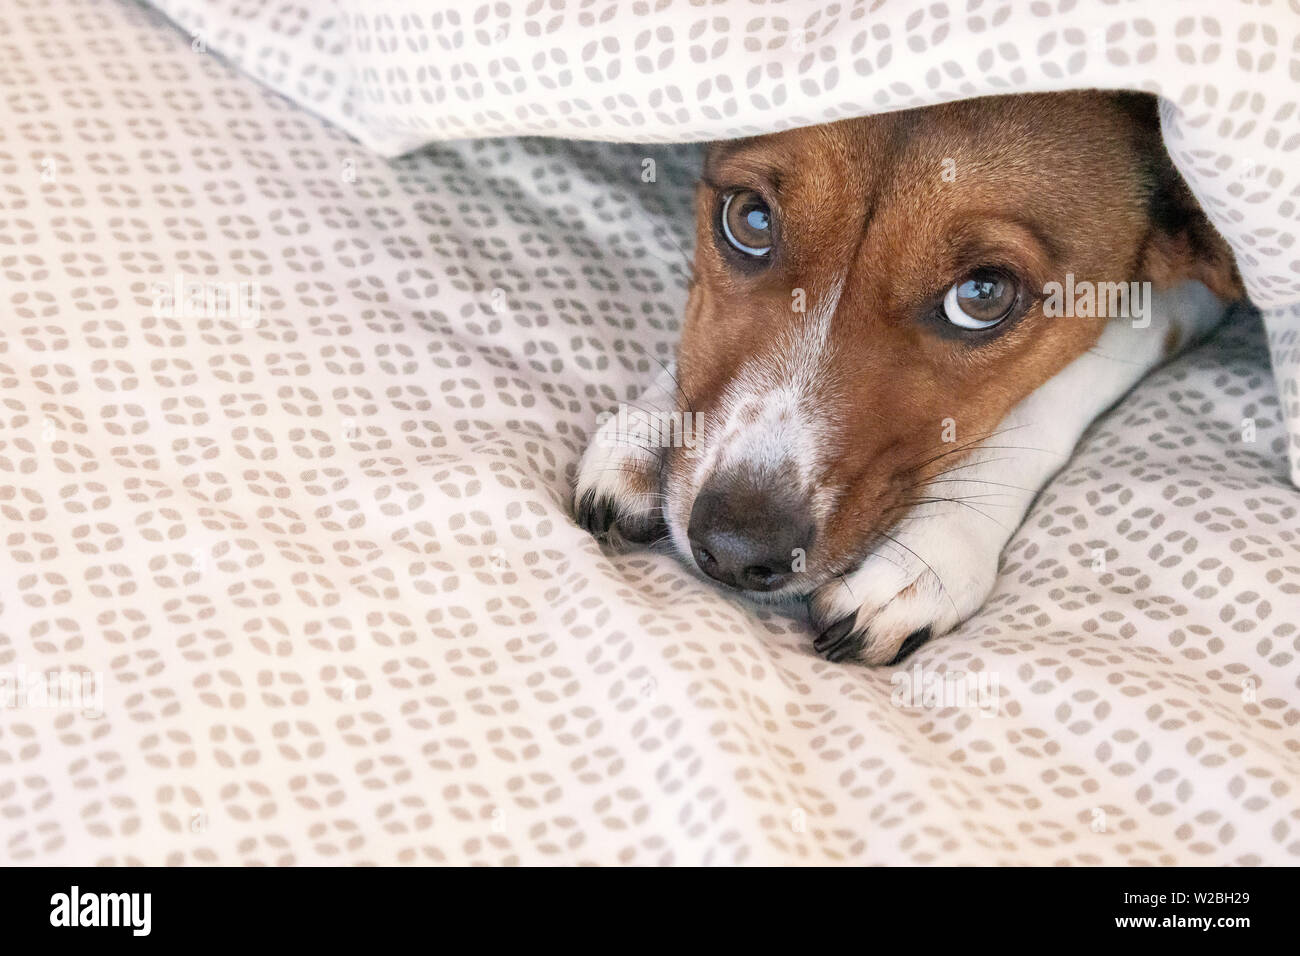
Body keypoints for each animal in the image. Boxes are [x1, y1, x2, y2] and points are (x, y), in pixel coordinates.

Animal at [577, 93, 1237, 671]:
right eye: (750, 219)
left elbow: (1066, 381)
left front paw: (930, 548)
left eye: (983, 295)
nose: (736, 552)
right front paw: (645, 431)